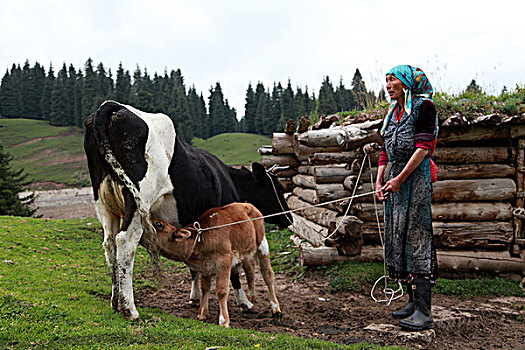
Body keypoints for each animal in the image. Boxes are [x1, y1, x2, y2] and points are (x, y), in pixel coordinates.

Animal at [152, 202, 282, 328]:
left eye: (159, 224)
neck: (200, 239)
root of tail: (247, 205)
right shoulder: (205, 266)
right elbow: (205, 288)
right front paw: (202, 314)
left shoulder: (224, 261)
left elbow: (221, 290)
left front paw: (224, 320)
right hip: (245, 252)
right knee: (250, 271)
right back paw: (251, 300)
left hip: (262, 244)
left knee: (267, 274)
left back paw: (275, 309)